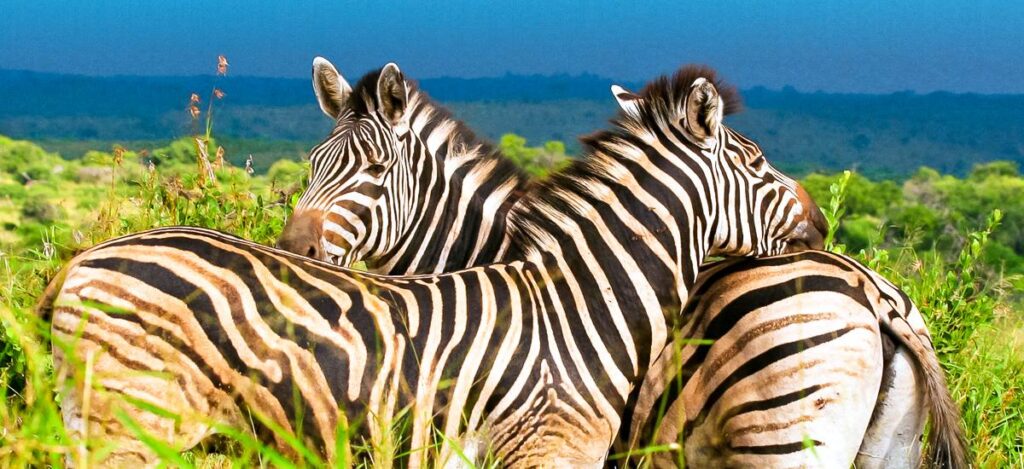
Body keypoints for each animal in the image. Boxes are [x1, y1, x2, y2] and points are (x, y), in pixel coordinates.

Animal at [39, 63, 827, 467]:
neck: (577, 306)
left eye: (372, 170)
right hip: (133, 422)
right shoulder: (544, 452)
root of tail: (84, 263)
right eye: (759, 166)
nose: (823, 223)